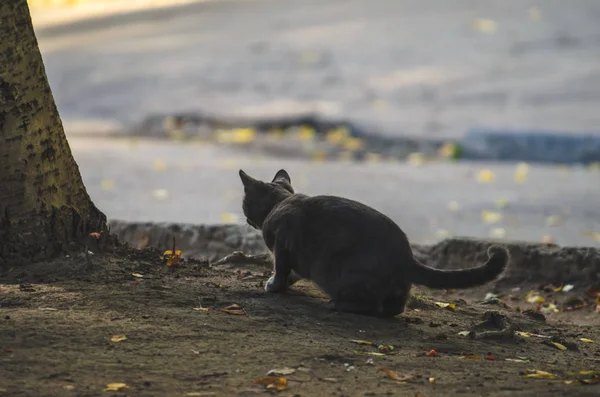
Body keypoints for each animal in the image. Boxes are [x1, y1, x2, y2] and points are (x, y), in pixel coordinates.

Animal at [240, 169, 510, 318]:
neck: (279, 203)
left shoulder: (282, 247)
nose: (245, 217)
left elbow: (281, 269)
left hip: (343, 275)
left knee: (372, 306)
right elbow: (293, 273)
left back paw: (337, 304)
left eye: (244, 203)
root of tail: (407, 257)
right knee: (395, 307)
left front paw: (274, 285)